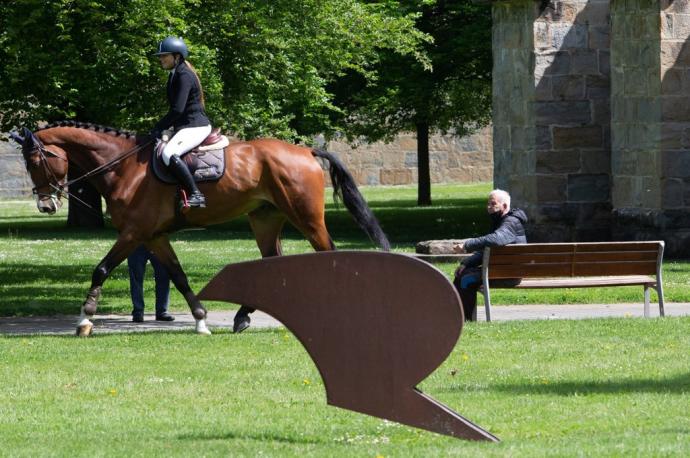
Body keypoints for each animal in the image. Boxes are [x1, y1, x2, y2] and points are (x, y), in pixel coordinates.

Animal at [10, 121, 390, 336]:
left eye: (35, 161)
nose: (46, 205)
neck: (123, 166)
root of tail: (307, 151)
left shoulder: (134, 233)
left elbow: (101, 269)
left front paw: (85, 320)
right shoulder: (154, 236)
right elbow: (178, 276)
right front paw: (201, 320)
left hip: (305, 217)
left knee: (329, 254)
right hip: (265, 218)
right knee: (272, 259)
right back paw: (243, 317)